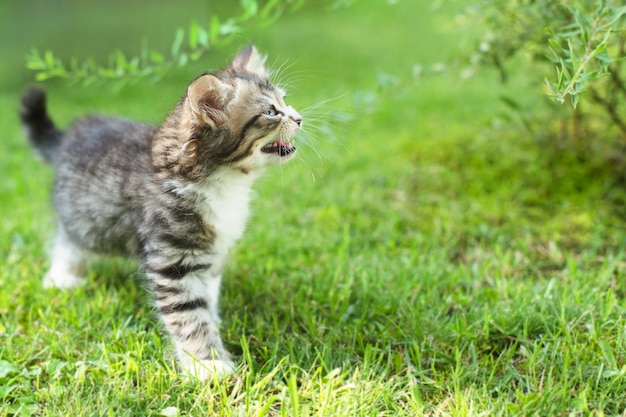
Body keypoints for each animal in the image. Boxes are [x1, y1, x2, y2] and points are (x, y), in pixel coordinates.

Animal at [18, 46, 302, 380]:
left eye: (285, 100)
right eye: (271, 112)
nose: (299, 118)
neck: (225, 183)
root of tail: (67, 139)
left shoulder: (212, 253)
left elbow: (208, 293)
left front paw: (213, 321)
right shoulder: (173, 260)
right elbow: (189, 316)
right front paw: (207, 364)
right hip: (83, 218)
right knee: (67, 241)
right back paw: (61, 277)